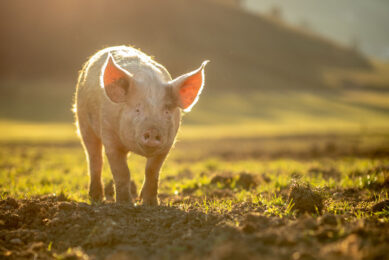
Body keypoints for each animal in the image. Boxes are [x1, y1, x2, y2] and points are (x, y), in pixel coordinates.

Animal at [75, 46, 209, 205]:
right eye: (138, 109)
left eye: (166, 111)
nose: (152, 131)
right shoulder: (110, 137)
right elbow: (122, 172)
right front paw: (126, 204)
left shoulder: (167, 145)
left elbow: (152, 171)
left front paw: (151, 204)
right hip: (83, 122)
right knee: (94, 158)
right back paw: (95, 199)